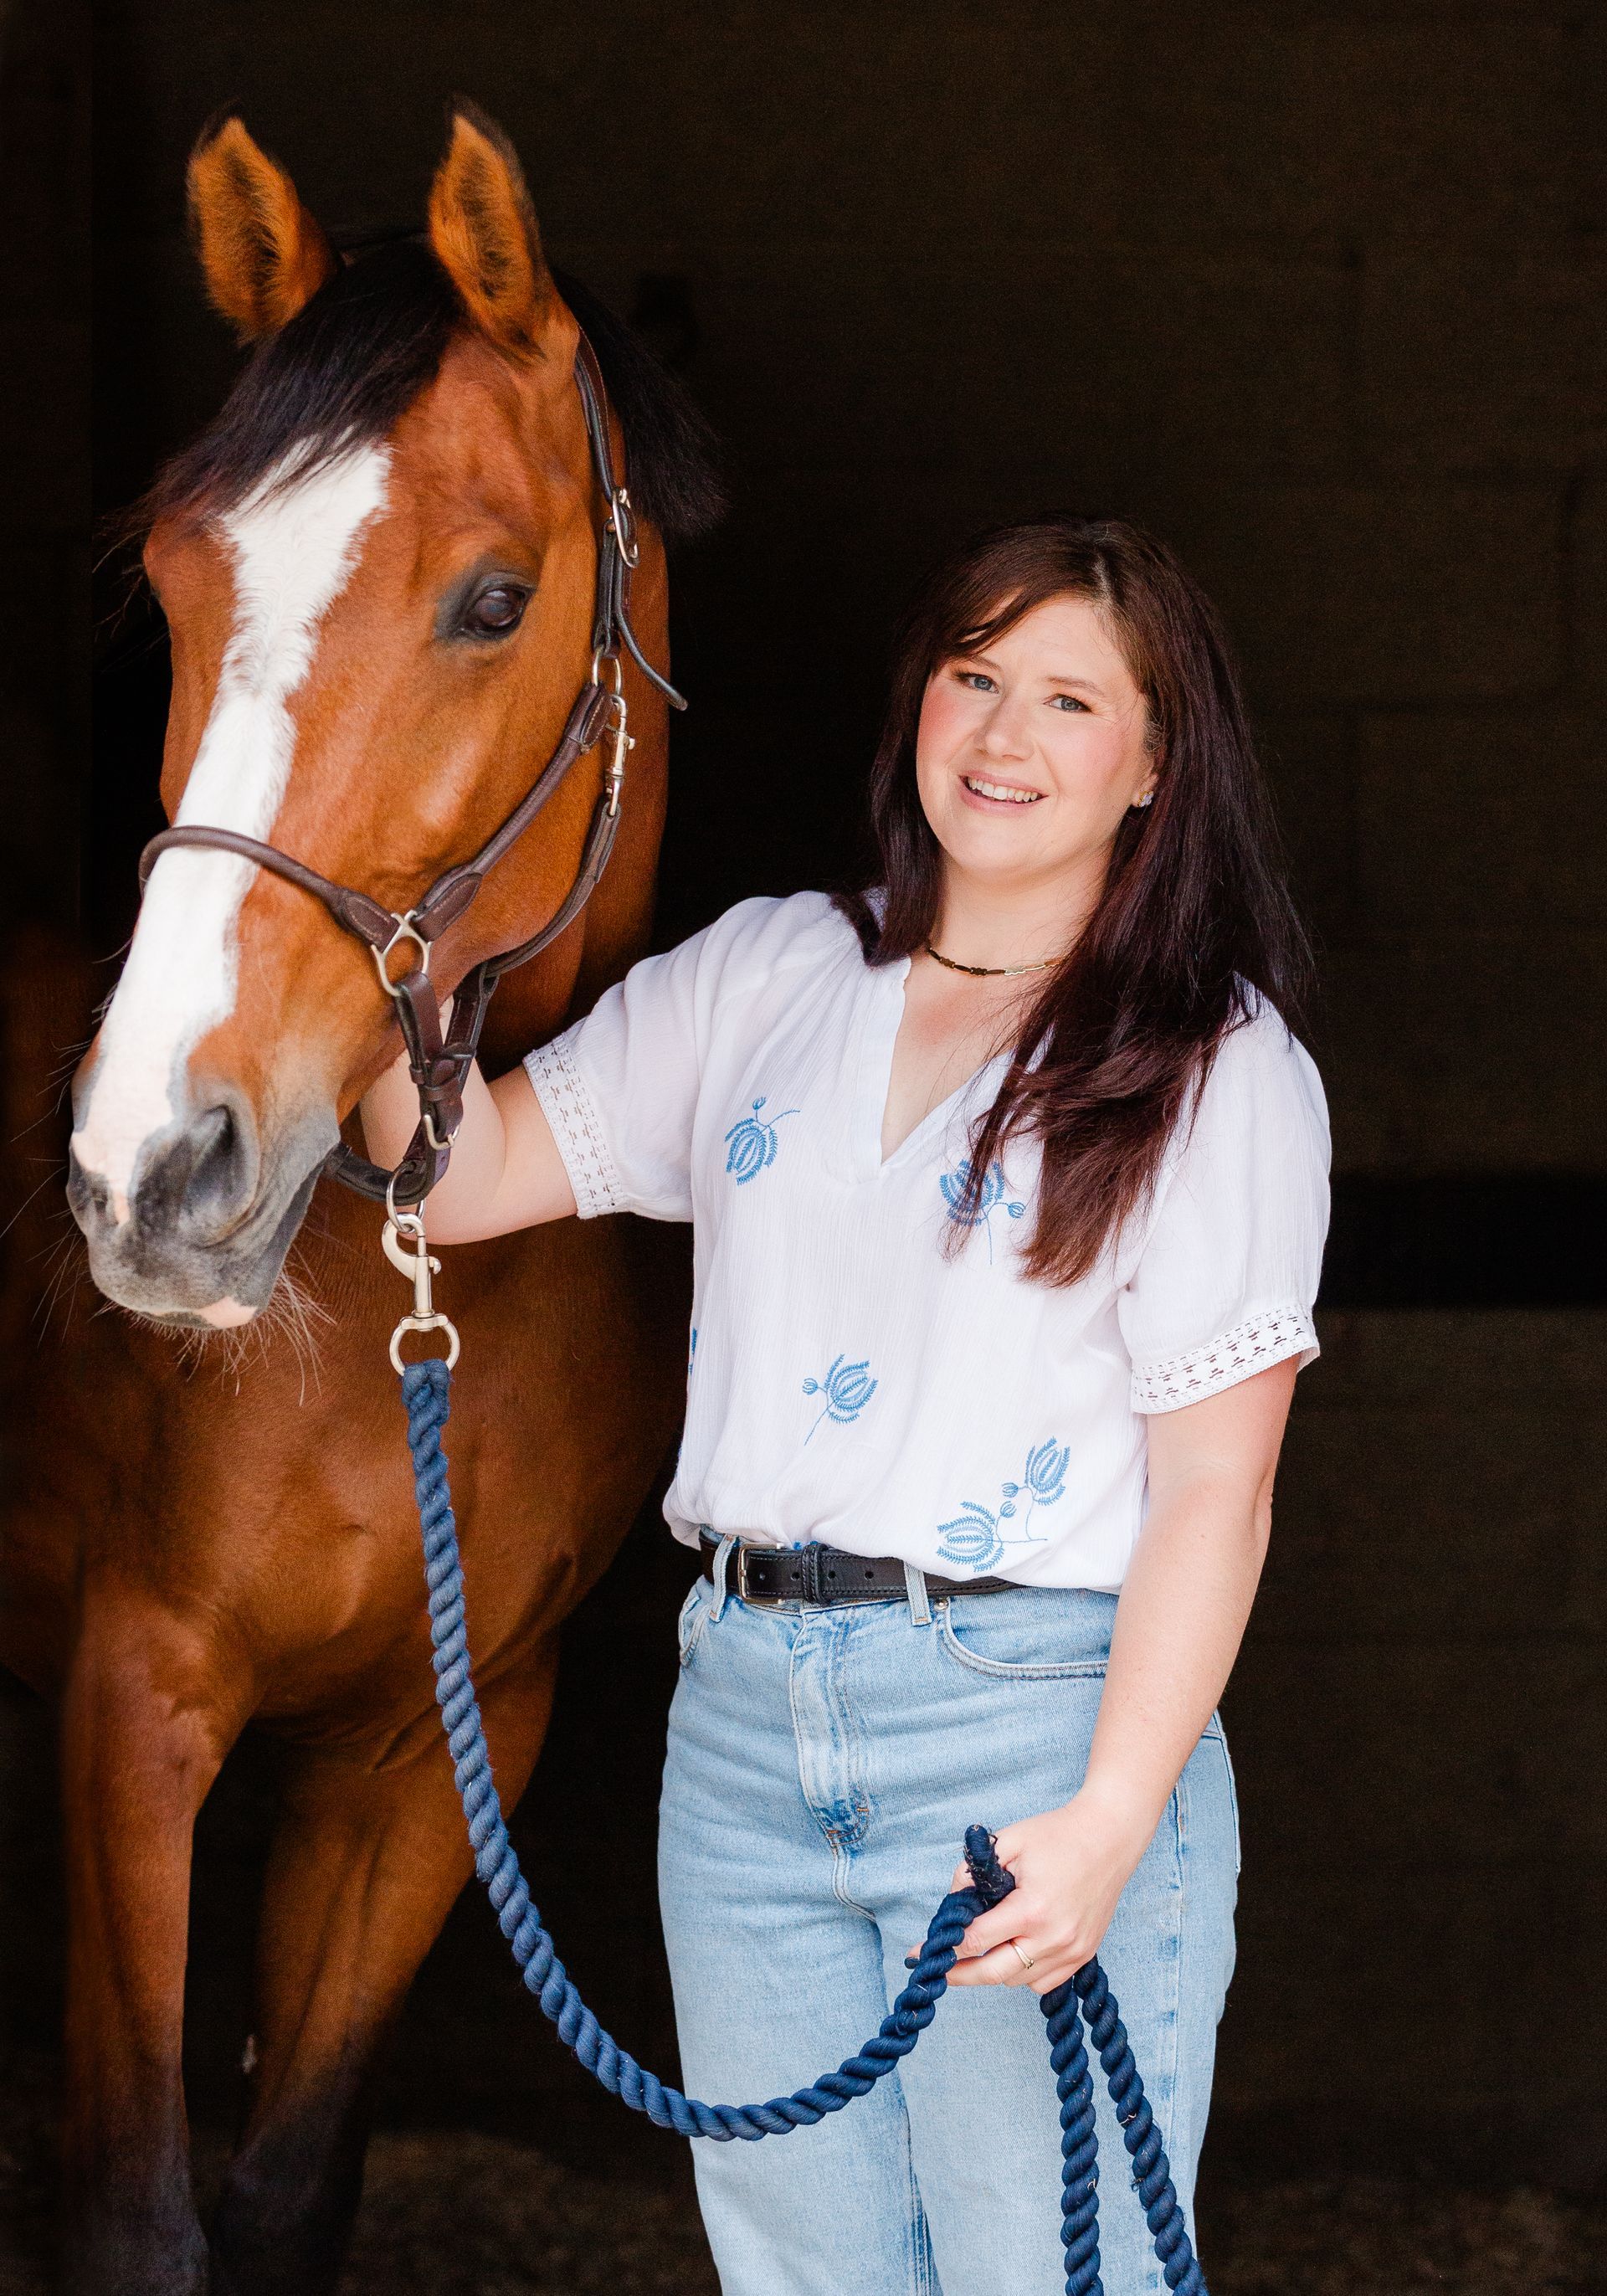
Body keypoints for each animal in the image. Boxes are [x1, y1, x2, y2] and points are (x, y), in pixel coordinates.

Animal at [0, 102, 719, 2295]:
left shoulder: (428, 1750)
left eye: (493, 597)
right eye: (169, 586)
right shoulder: (135, 1706)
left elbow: (289, 2186)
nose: (148, 1163)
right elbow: (139, 2208)